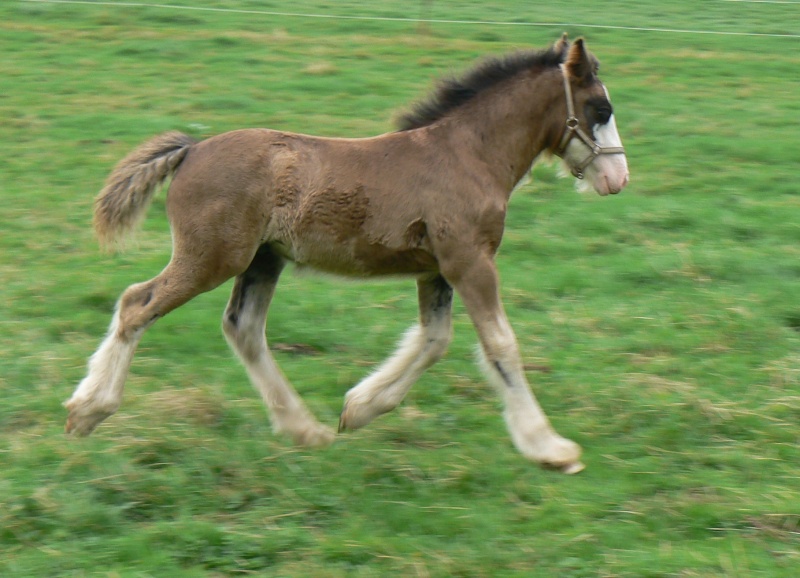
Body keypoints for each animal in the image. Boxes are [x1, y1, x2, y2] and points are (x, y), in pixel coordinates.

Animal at [67, 36, 624, 470]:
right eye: (601, 109)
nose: (618, 178)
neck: (467, 155)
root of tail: (192, 150)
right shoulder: (469, 261)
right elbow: (499, 344)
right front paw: (550, 448)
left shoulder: (437, 269)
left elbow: (434, 339)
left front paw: (359, 407)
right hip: (213, 257)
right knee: (137, 303)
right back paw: (88, 410)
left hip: (262, 259)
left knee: (242, 327)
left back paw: (305, 429)